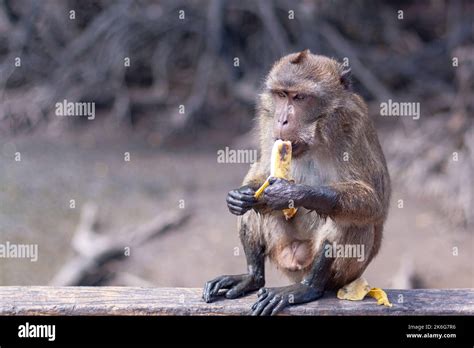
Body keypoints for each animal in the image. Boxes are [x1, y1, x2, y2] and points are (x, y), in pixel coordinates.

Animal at [202, 49, 390, 316]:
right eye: (282, 95)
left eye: (300, 97)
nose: (282, 120)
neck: (316, 136)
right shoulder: (267, 119)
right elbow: (261, 171)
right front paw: (241, 194)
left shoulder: (353, 124)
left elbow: (374, 202)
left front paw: (290, 193)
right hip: (283, 250)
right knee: (254, 210)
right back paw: (252, 276)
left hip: (344, 272)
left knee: (349, 216)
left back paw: (309, 287)